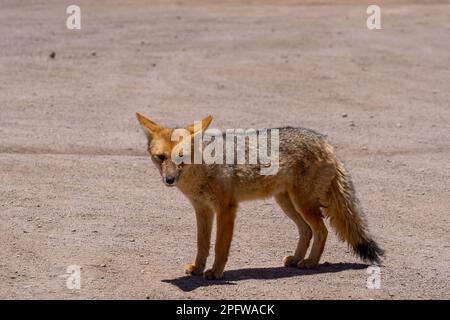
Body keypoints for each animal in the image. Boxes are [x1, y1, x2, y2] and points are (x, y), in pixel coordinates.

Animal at [134, 113, 384, 280]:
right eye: (160, 157)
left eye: (181, 158)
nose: (169, 180)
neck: (203, 168)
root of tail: (325, 141)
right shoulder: (202, 210)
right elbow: (202, 244)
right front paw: (197, 268)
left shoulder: (226, 208)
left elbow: (220, 246)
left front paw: (215, 272)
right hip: (287, 203)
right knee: (307, 230)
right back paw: (296, 259)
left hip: (302, 204)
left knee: (321, 230)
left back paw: (311, 262)